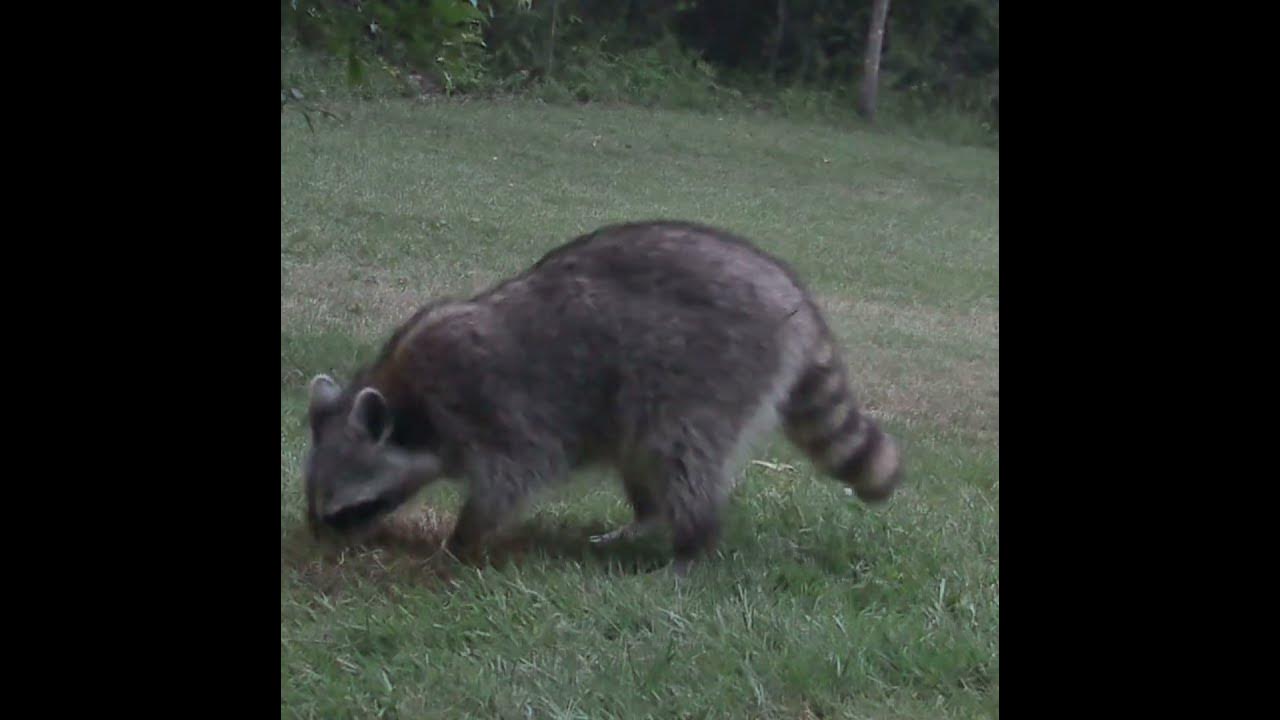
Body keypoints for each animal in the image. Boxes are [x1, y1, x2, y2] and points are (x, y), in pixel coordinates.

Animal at [303, 221, 901, 572]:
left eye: (344, 509)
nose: (317, 548)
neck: (406, 402)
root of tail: (789, 290)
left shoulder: (492, 408)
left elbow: (512, 477)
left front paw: (461, 540)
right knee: (643, 456)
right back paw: (647, 517)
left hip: (713, 367)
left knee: (682, 453)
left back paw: (692, 543)